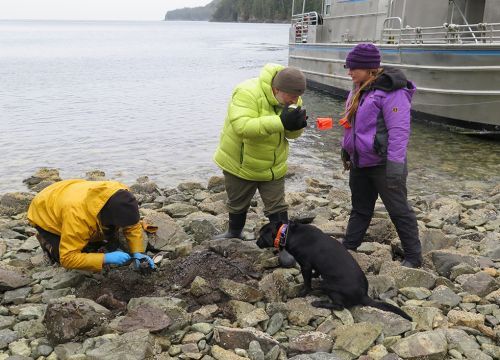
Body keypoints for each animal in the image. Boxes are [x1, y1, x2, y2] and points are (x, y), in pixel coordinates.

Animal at [256, 221, 412, 322]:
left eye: (261, 236)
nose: (256, 243)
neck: (288, 233)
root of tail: (363, 295)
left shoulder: (305, 265)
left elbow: (307, 283)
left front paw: (302, 293)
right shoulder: (312, 266)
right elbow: (315, 272)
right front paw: (315, 276)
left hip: (330, 286)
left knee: (339, 306)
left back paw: (319, 303)